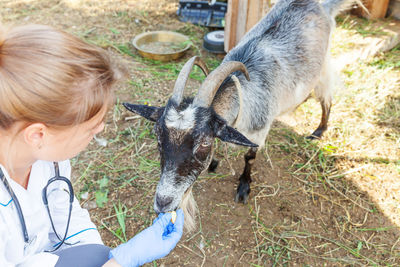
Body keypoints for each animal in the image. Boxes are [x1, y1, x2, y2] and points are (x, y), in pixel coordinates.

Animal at [124, 0, 356, 231]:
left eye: (204, 144)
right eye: (157, 137)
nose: (163, 202)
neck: (243, 93)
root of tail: (321, 5)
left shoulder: (259, 132)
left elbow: (249, 157)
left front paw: (243, 187)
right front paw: (214, 163)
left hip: (322, 69)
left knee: (326, 99)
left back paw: (319, 131)